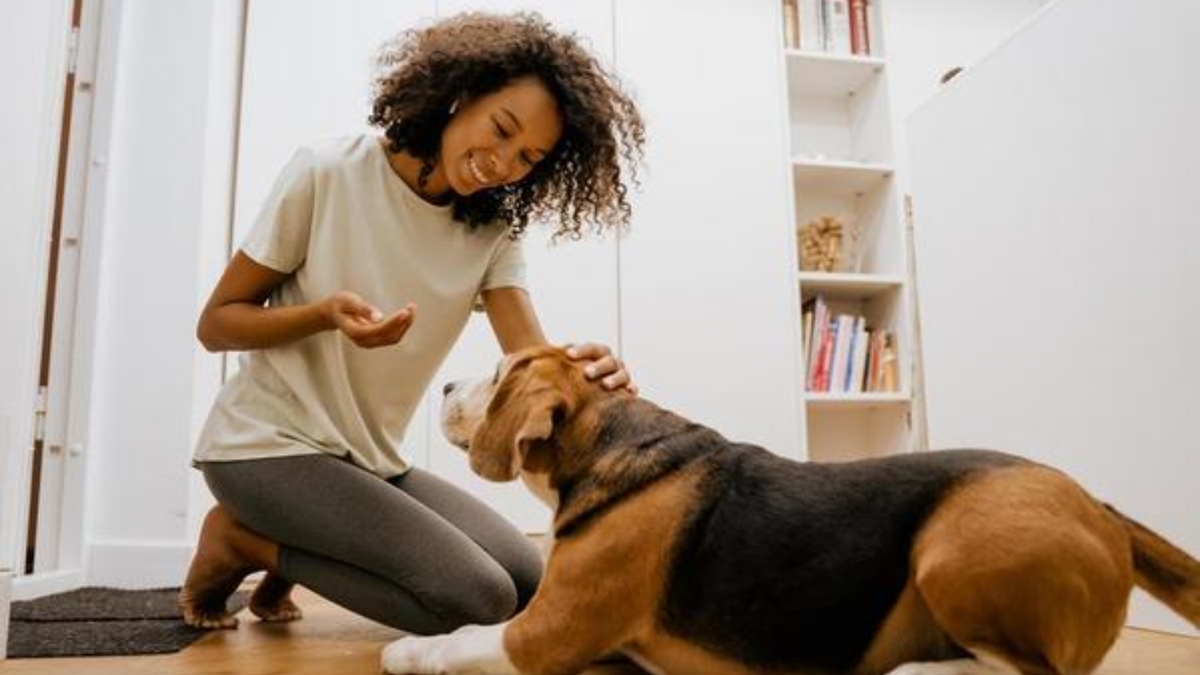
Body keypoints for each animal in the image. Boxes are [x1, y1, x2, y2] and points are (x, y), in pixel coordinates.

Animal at [381, 343, 1200, 672]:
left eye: (497, 374)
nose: (444, 385)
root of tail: (1100, 507)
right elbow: (473, 631)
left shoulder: (546, 636)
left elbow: (459, 642)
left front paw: (407, 653)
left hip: (951, 548)